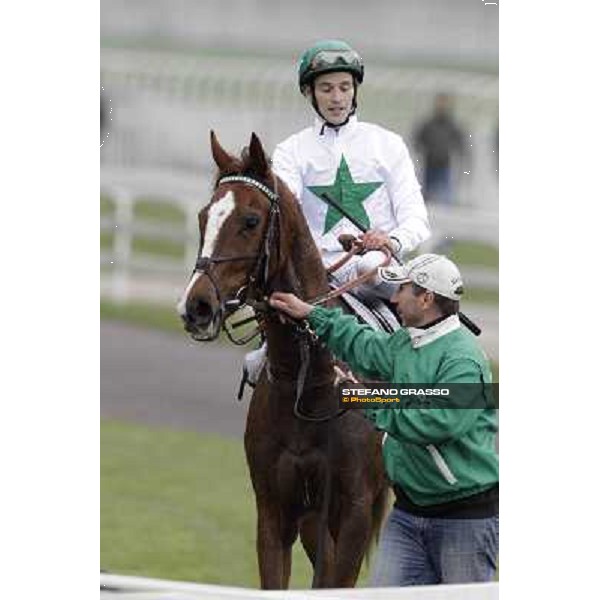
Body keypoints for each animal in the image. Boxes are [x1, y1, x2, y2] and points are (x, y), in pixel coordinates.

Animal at [178, 134, 390, 588]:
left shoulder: (354, 511)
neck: (308, 378)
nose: (197, 306)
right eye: (204, 217)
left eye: (251, 220)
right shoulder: (275, 509)